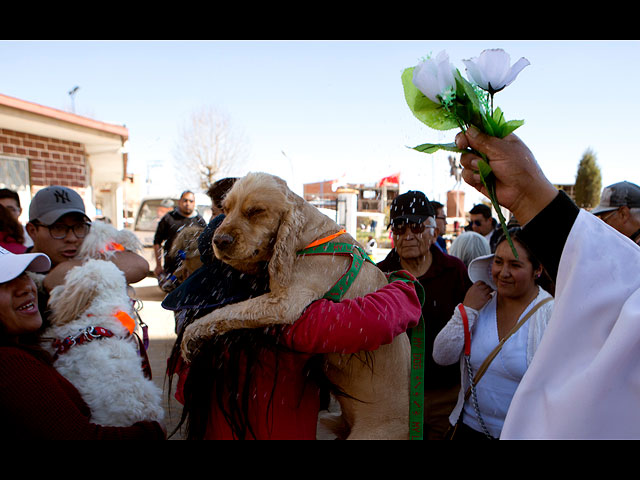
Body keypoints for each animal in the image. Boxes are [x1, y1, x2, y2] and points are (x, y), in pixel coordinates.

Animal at [180, 172, 412, 438]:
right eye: (226, 209)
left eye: (256, 211)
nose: (219, 240)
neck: (308, 240)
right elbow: (231, 309)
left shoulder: (285, 302)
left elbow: (228, 310)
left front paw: (191, 335)